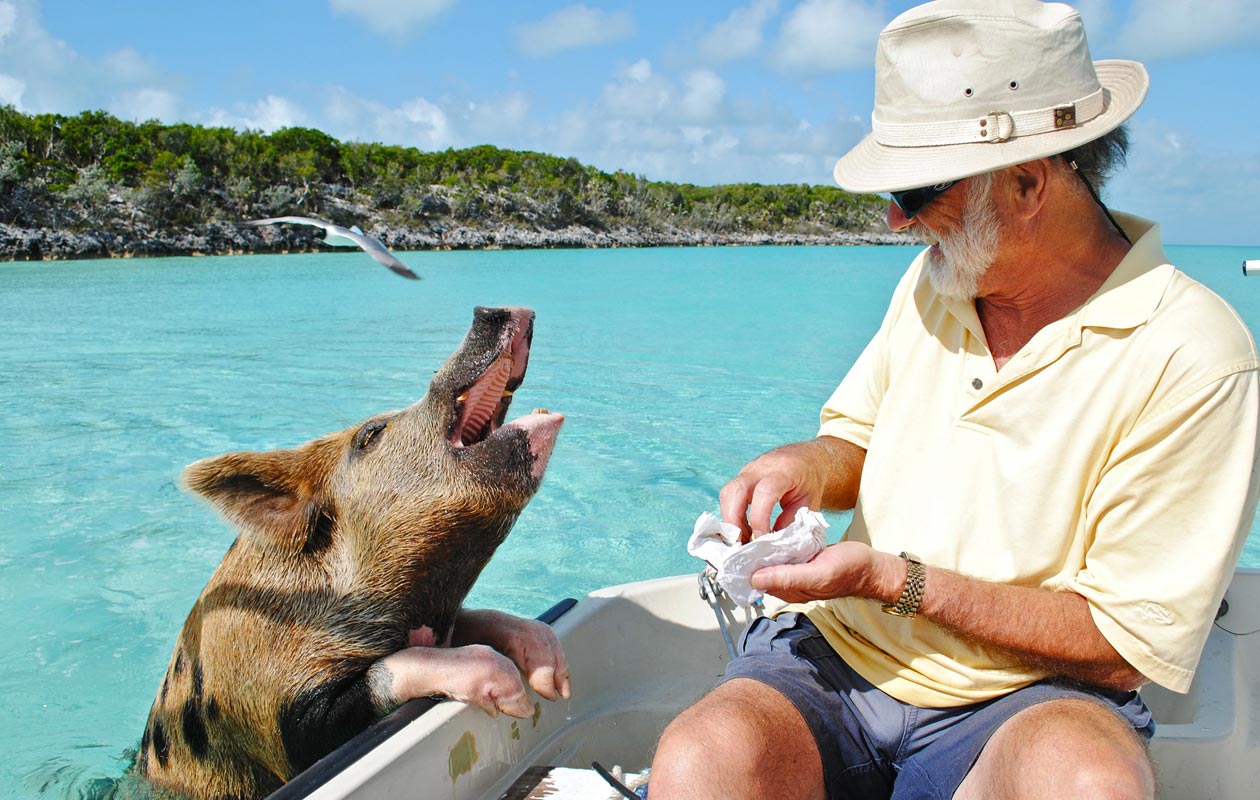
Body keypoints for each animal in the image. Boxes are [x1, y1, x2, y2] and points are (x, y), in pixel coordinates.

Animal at [131, 308, 572, 800]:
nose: (490, 310)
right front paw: (514, 693)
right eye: (370, 433)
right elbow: (376, 680)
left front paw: (554, 678)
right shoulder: (281, 718)